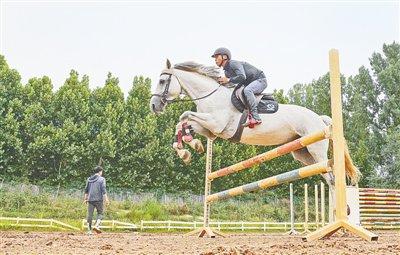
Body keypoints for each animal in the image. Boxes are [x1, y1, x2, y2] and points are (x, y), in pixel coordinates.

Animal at [150, 59, 360, 193]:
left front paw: (189, 145)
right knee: (328, 176)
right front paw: (187, 148)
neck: (210, 96)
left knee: (332, 178)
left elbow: (184, 115)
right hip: (303, 154)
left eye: (162, 81)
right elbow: (182, 123)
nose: (153, 106)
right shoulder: (210, 130)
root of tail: (320, 118)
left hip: (316, 149)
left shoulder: (216, 124)